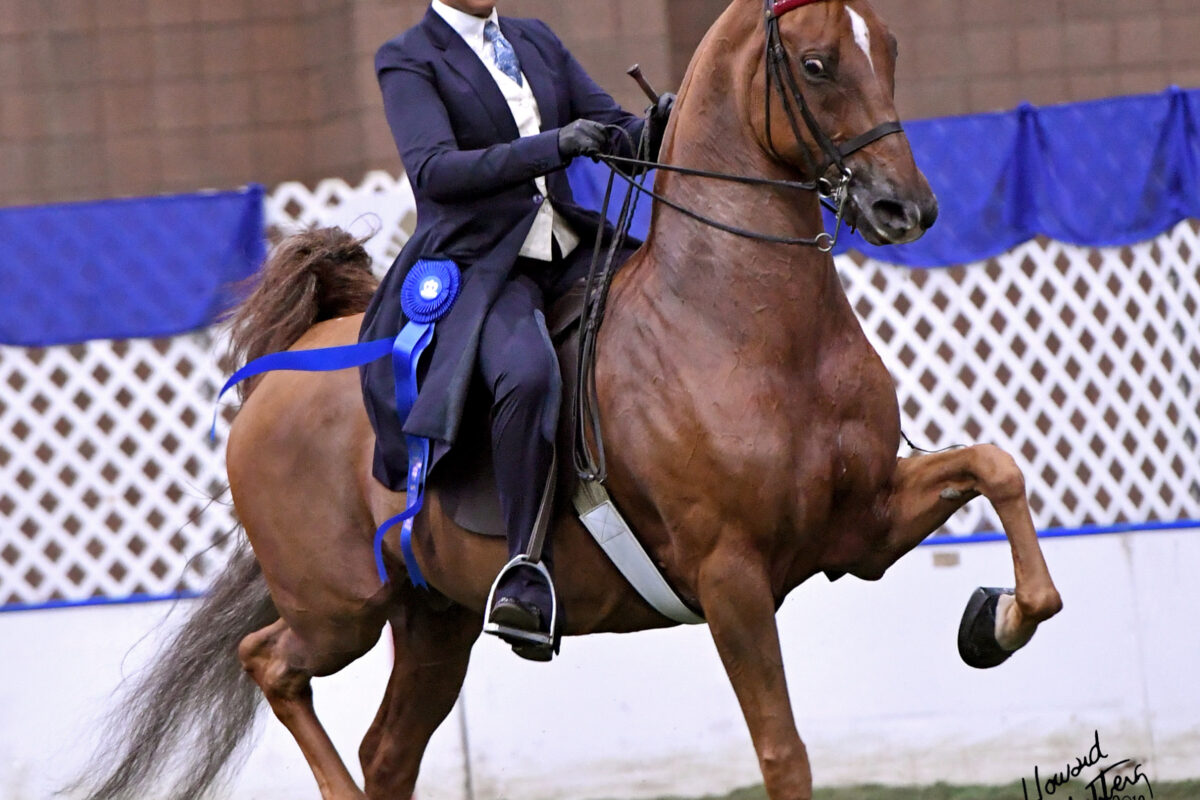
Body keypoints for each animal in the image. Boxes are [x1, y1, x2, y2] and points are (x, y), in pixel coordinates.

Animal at [82, 1, 1060, 800]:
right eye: (817, 64)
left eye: (887, 47)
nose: (906, 210)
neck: (747, 323)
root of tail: (292, 360)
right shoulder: (733, 577)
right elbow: (784, 755)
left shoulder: (859, 530)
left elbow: (997, 470)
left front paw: (997, 619)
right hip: (338, 609)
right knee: (272, 665)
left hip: (432, 621)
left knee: (386, 751)